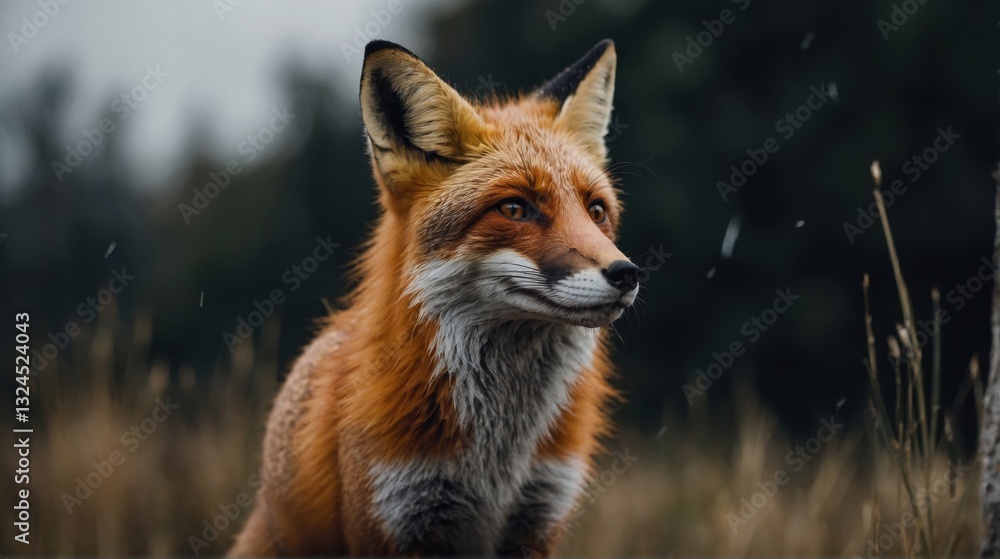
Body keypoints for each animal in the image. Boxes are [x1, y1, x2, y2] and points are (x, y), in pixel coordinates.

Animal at [228, 38, 640, 557]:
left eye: (597, 211)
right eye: (514, 209)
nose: (627, 274)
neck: (497, 459)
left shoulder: (537, 517)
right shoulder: (396, 518)